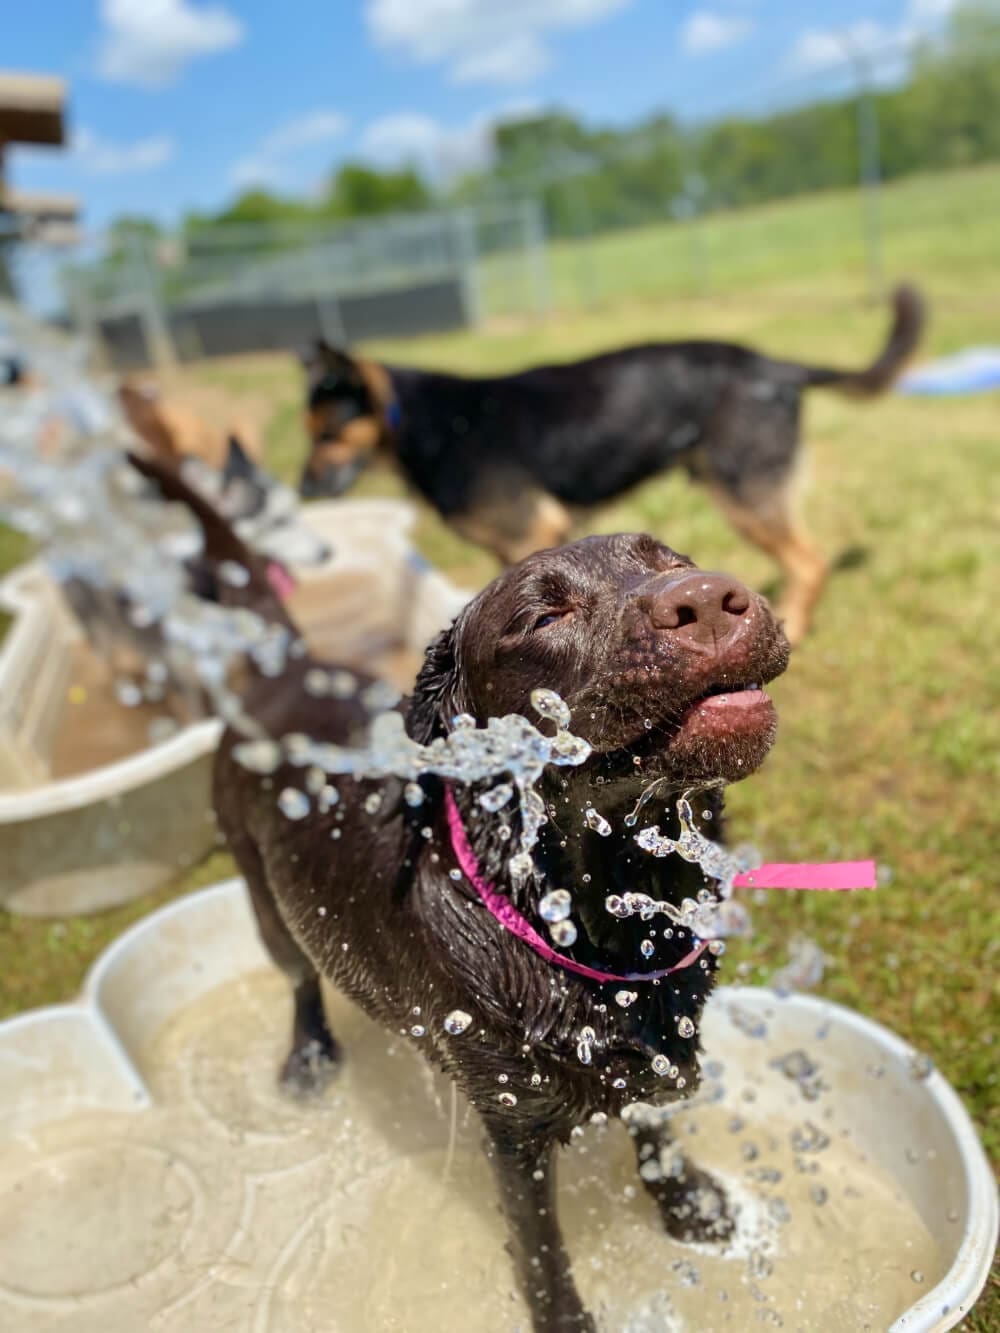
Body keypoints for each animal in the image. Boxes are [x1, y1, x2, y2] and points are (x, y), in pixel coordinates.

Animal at [133, 455, 789, 1333]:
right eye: (542, 614)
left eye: (673, 558)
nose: (711, 597)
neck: (589, 908)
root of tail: (288, 671)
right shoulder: (513, 1123)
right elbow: (541, 1251)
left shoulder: (660, 1037)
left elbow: (657, 1125)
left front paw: (689, 1206)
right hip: (259, 886)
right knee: (299, 974)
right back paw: (309, 1055)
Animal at [304, 286, 922, 645]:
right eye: (309, 433)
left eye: (330, 433)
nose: (304, 490)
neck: (415, 422)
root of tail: (774, 365)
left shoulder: (532, 532)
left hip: (743, 496)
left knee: (810, 563)